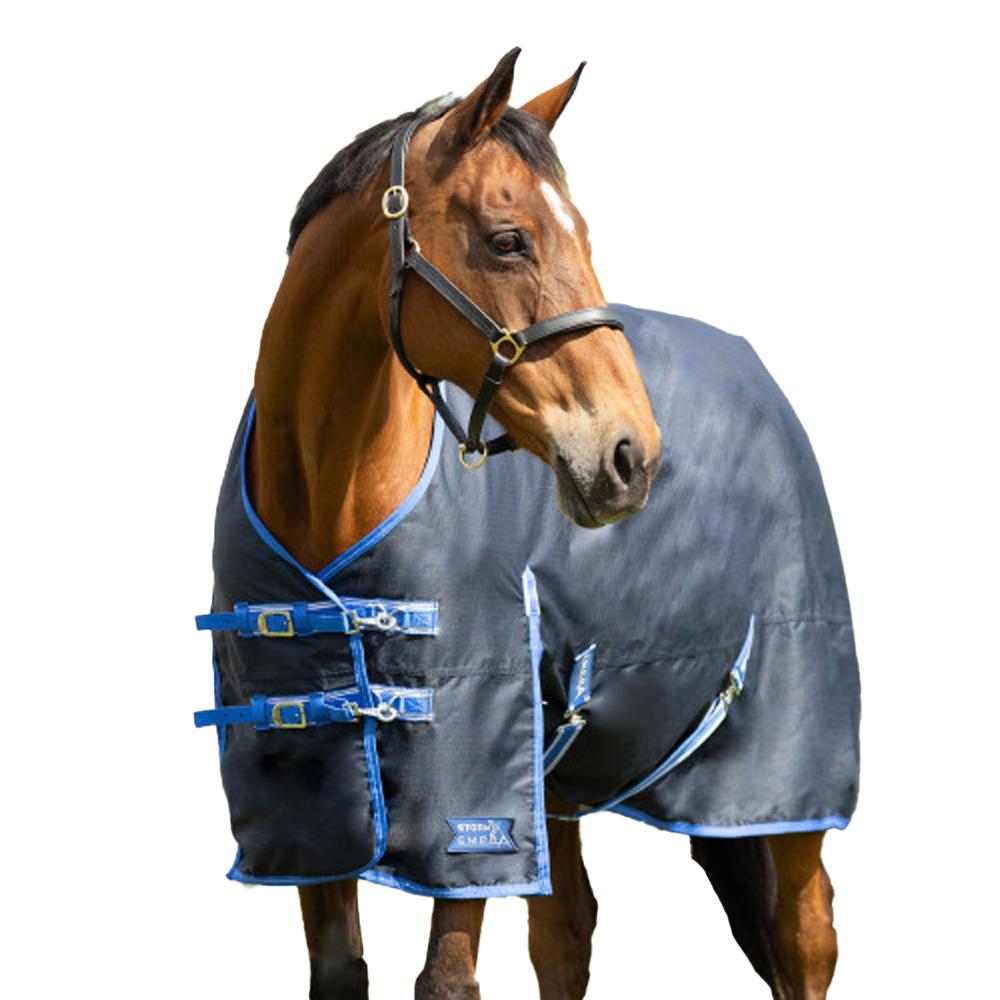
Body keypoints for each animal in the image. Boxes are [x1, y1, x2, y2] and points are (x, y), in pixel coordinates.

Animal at [194, 48, 857, 999]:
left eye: (583, 233)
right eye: (510, 240)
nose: (630, 455)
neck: (331, 496)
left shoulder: (472, 808)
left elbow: (445, 978)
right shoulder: (311, 821)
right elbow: (342, 971)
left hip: (780, 775)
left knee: (805, 940)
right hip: (568, 778)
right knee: (568, 938)